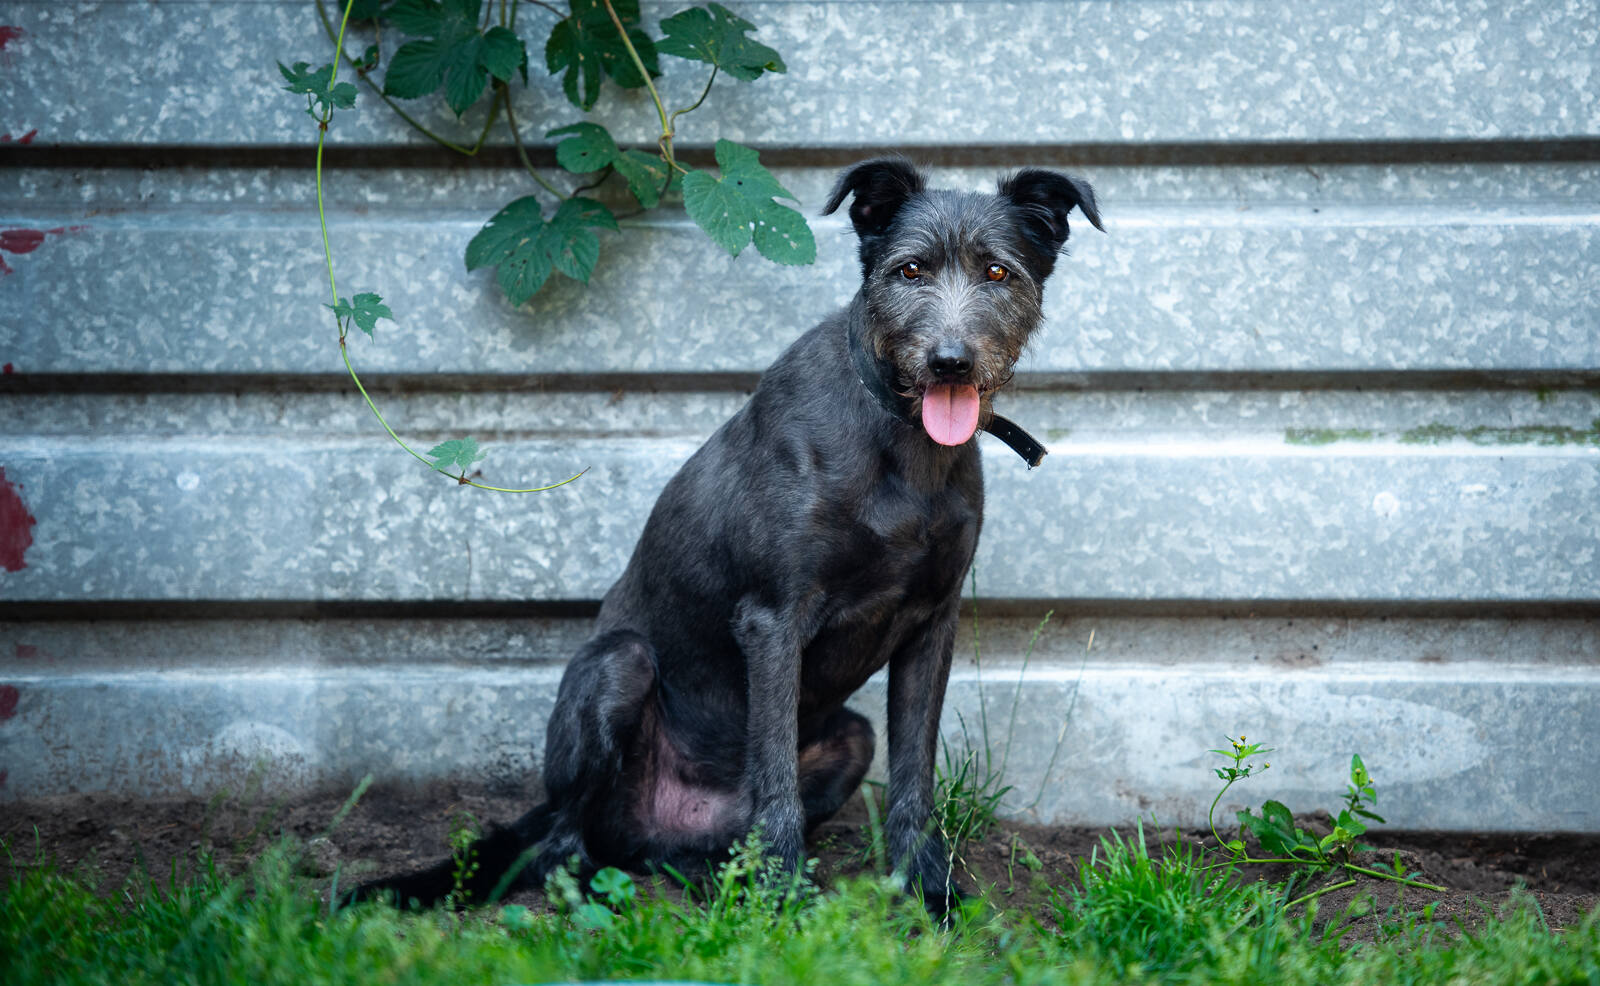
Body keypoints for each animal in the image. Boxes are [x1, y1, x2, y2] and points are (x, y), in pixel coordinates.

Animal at [357, 158, 1102, 914]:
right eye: (910, 270)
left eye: (999, 272)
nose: (950, 361)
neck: (900, 440)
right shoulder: (773, 620)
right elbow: (771, 768)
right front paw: (783, 899)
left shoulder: (931, 625)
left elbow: (913, 775)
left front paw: (925, 888)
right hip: (618, 668)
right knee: (565, 842)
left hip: (849, 739)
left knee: (686, 848)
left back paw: (712, 877)